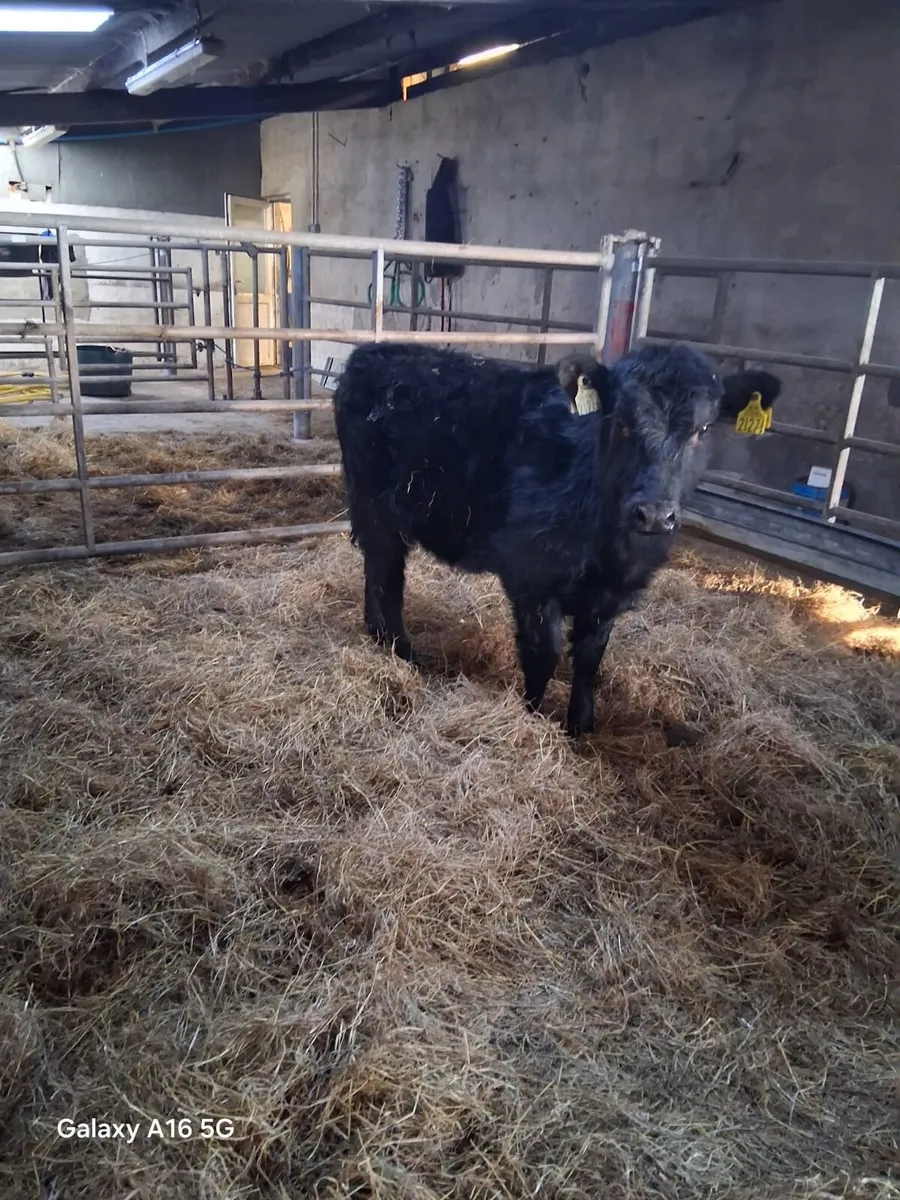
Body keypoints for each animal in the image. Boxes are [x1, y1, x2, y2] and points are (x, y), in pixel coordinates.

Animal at [332, 341, 781, 737]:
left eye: (702, 429)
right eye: (620, 421)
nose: (654, 513)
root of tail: (371, 353)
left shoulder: (610, 596)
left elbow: (589, 659)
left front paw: (580, 725)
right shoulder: (532, 578)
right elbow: (543, 656)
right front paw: (532, 714)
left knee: (379, 572)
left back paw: (379, 636)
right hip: (376, 508)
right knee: (387, 577)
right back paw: (401, 650)